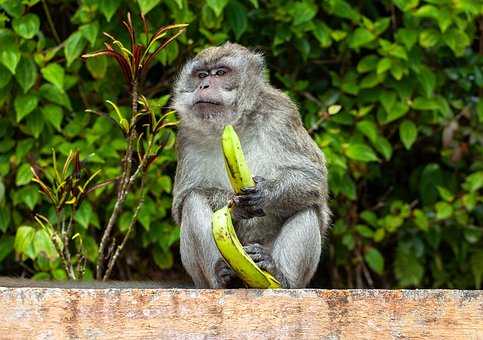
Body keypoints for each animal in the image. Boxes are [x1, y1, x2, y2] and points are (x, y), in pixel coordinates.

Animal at [172, 41, 330, 288]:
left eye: (221, 73)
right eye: (201, 75)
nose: (204, 85)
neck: (233, 124)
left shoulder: (282, 113)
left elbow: (312, 177)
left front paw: (265, 193)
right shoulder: (186, 136)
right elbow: (182, 199)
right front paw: (235, 206)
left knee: (307, 207)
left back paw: (278, 275)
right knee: (193, 199)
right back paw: (222, 277)